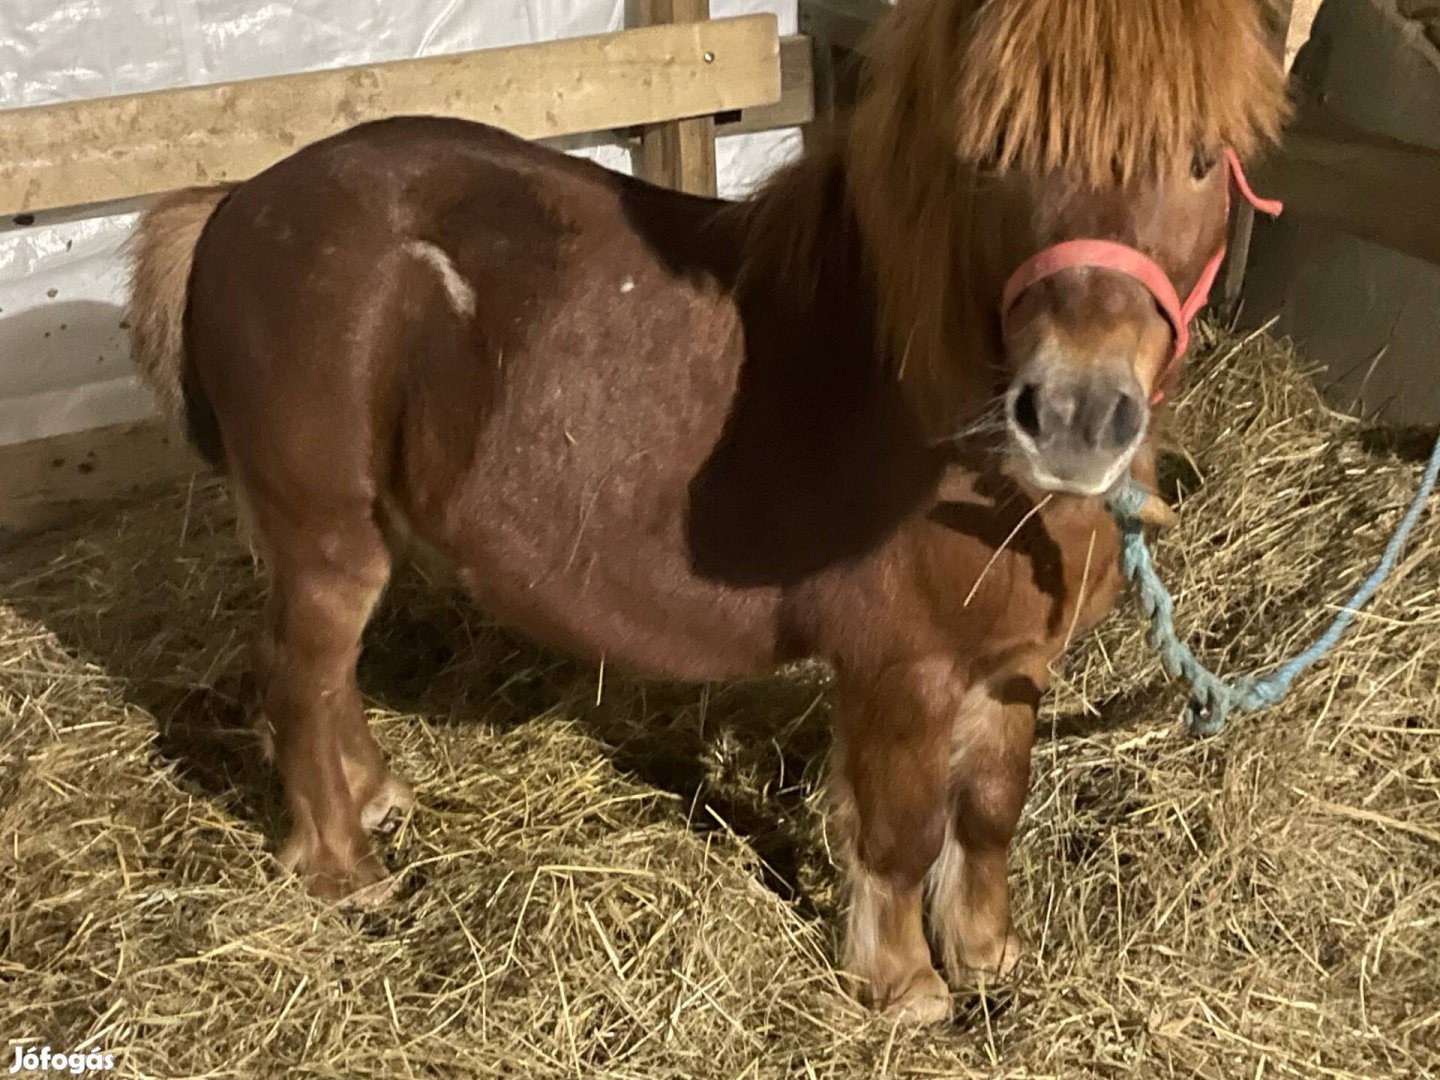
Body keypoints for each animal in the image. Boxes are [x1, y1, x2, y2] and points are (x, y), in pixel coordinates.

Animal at [129, 0, 1290, 1025]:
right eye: (997, 156)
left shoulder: (1011, 668)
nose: (1078, 414)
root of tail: (232, 208)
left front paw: (989, 957)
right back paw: (347, 870)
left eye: (1203, 160)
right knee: (298, 678)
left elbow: (992, 814)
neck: (922, 400)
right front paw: (905, 987)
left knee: (327, 685)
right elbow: (903, 832)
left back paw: (376, 799)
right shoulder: (902, 670)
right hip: (326, 537)